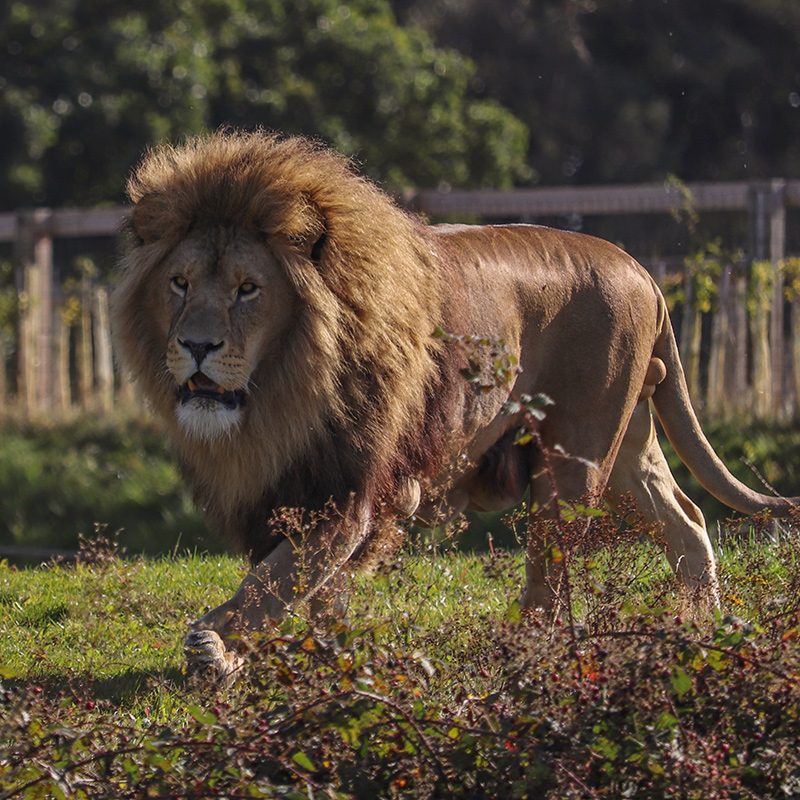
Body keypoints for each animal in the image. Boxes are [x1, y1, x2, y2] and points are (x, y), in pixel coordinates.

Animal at [114, 133, 800, 680]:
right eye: (179, 284)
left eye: (248, 290)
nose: (195, 347)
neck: (281, 394)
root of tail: (641, 270)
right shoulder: (293, 485)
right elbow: (315, 587)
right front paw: (327, 653)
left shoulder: (350, 488)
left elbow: (276, 580)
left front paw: (215, 647)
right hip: (625, 444)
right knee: (687, 518)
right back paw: (702, 628)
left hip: (574, 457)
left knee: (552, 574)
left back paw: (530, 653)